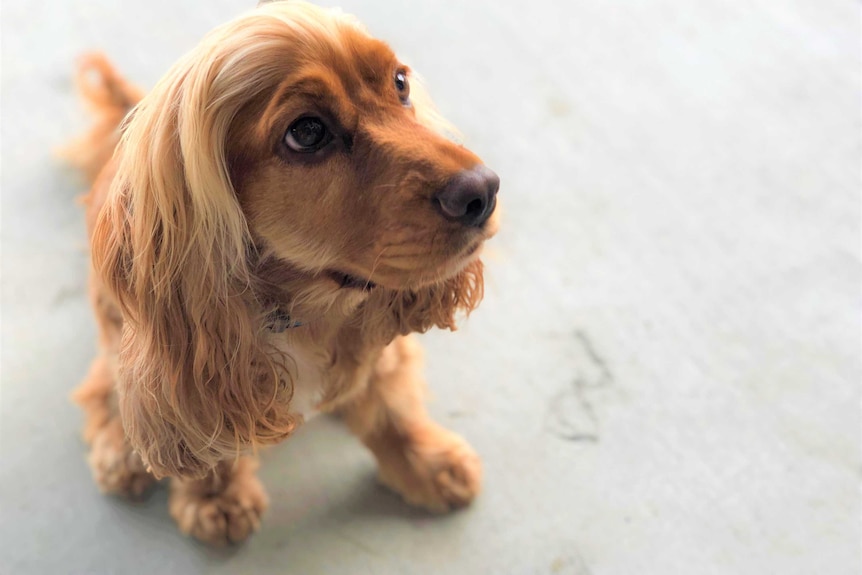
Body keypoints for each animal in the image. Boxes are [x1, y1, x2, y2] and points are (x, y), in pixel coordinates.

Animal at [69, 2, 500, 548]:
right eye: (307, 132)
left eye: (400, 83)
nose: (484, 190)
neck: (304, 310)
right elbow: (208, 443)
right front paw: (216, 498)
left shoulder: (381, 350)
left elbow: (392, 406)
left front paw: (428, 463)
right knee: (104, 385)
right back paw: (119, 451)